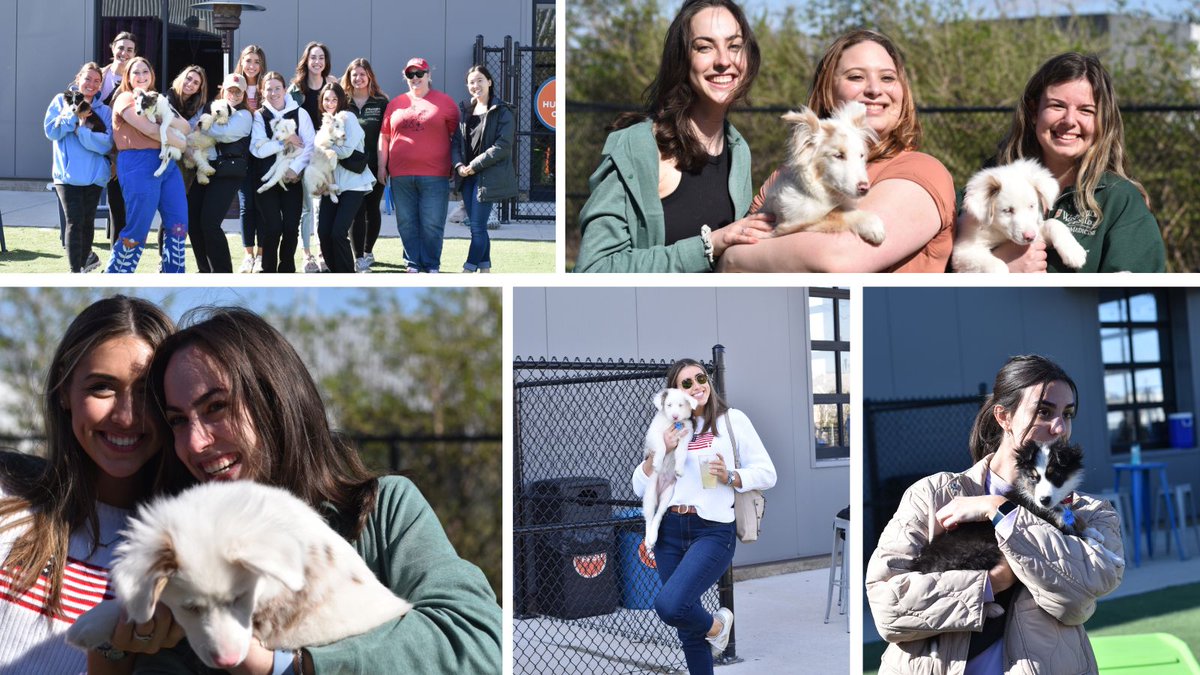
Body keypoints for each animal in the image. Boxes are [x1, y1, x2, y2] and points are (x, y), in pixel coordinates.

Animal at [643, 386, 700, 550]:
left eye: (680, 405)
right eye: (668, 405)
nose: (675, 416)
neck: (672, 424)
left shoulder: (686, 436)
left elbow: (681, 452)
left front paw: (679, 469)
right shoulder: (654, 434)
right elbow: (662, 446)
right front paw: (657, 463)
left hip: (668, 495)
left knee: (658, 516)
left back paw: (653, 537)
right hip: (650, 495)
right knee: (649, 518)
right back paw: (648, 541)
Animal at [758, 100, 883, 242]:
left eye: (861, 155)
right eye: (838, 155)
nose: (864, 188)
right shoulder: (789, 226)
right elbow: (835, 212)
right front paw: (871, 223)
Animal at [955, 157, 1089, 270]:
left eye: (1031, 206)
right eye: (1007, 210)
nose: (1030, 237)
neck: (1000, 233)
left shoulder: (1037, 233)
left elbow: (1053, 223)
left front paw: (1073, 251)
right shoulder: (964, 251)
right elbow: (998, 266)